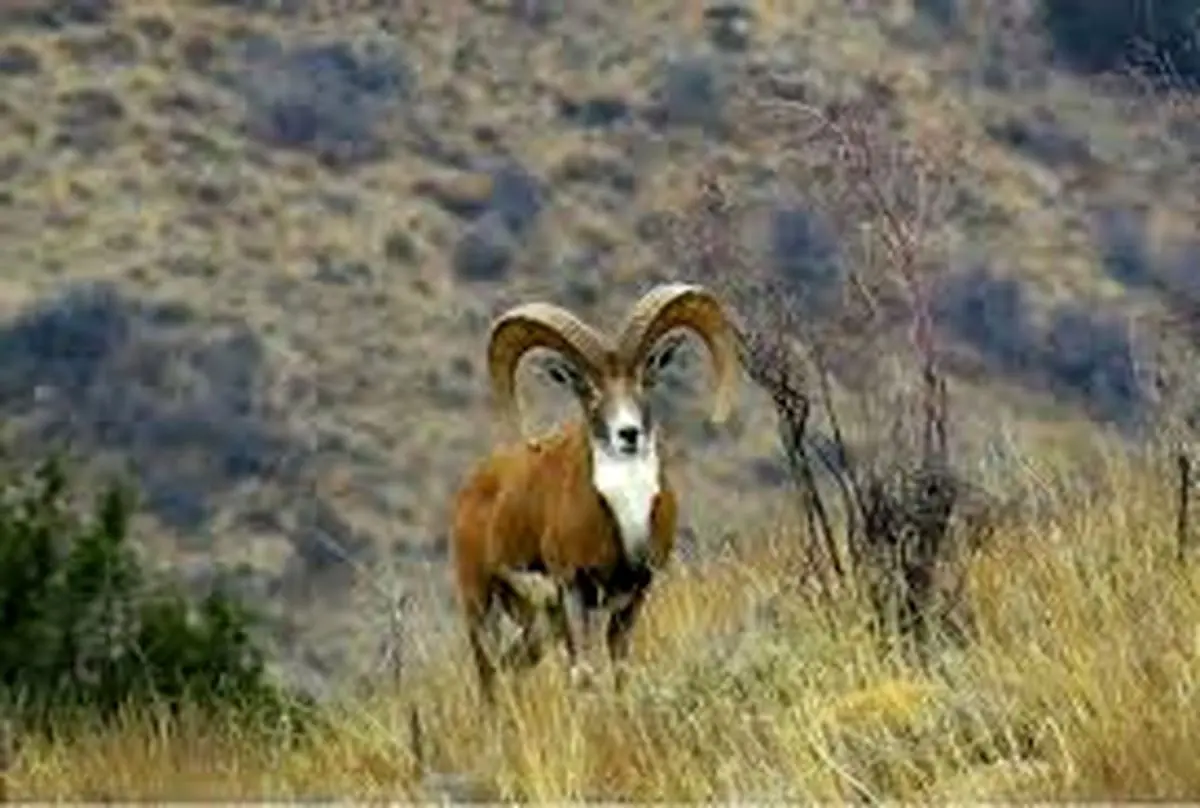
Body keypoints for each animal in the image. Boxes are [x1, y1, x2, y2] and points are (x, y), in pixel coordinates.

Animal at [448, 282, 734, 701]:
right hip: (480, 602)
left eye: (644, 379)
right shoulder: (572, 588)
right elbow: (582, 673)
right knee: (489, 674)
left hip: (539, 623)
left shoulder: (636, 593)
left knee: (511, 665)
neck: (626, 509)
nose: (628, 433)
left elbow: (620, 666)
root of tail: (470, 489)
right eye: (589, 390)